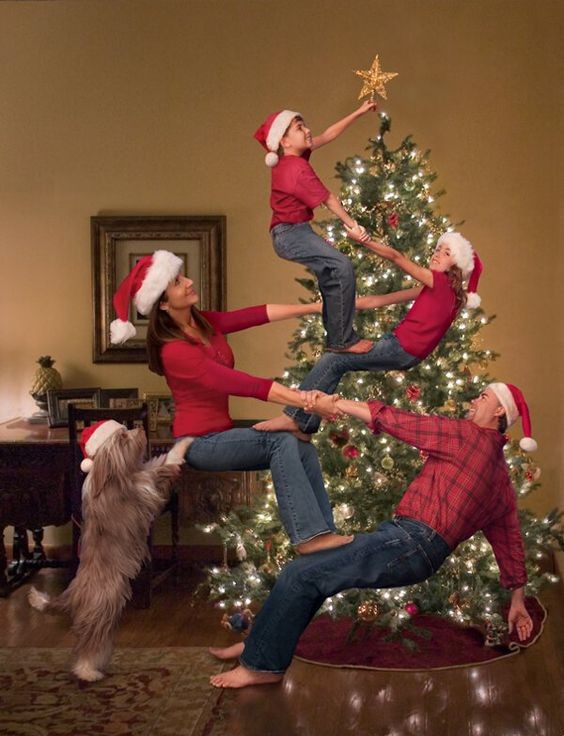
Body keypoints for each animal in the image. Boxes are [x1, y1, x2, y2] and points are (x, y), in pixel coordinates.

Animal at [28, 416, 191, 680]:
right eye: (123, 437)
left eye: (125, 429)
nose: (140, 429)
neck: (112, 475)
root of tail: (72, 594)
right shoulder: (145, 489)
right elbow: (165, 463)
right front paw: (184, 443)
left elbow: (159, 460)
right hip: (102, 609)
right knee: (89, 643)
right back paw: (87, 671)